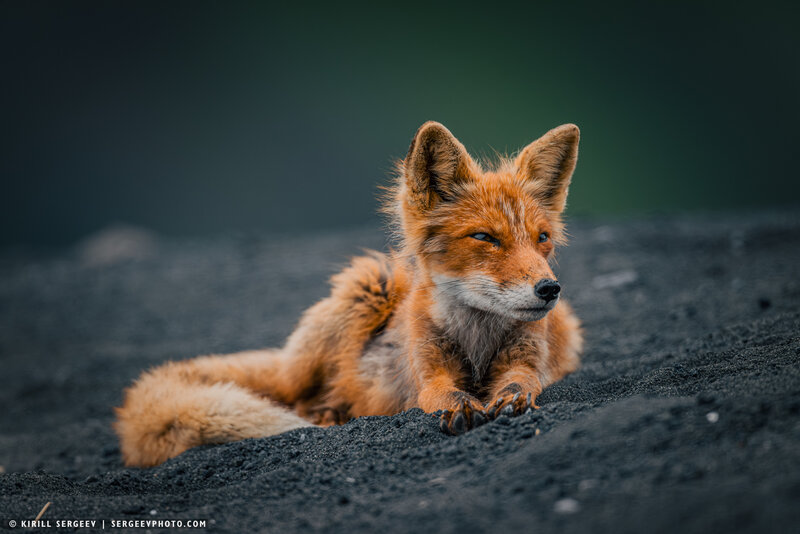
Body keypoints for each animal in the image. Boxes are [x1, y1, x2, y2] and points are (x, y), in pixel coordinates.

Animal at [114, 121, 584, 467]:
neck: (478, 339)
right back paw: (327, 413)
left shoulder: (528, 358)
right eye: (485, 237)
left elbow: (523, 380)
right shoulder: (426, 370)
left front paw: (513, 397)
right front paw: (459, 406)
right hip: (363, 291)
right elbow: (441, 394)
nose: (549, 289)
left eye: (542, 238)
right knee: (296, 397)